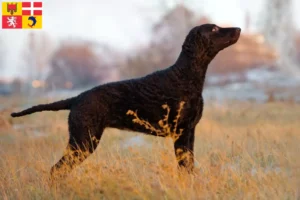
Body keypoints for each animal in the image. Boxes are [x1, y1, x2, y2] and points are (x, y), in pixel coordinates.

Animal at [11, 23, 241, 178]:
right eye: (214, 29)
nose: (238, 28)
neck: (185, 75)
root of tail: (77, 97)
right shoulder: (181, 132)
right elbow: (185, 167)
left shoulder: (189, 131)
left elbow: (189, 167)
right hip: (84, 140)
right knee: (56, 170)